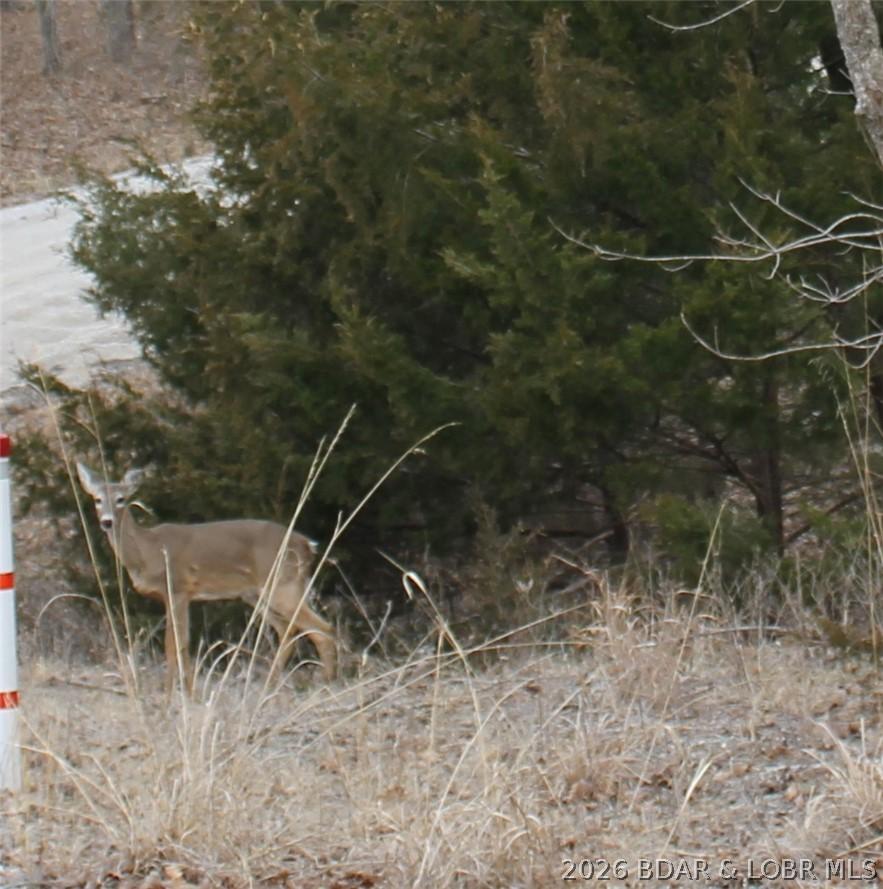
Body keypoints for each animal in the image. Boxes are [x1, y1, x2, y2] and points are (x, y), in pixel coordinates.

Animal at [76, 462, 337, 693]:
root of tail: (307, 545)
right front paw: (190, 694)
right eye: (97, 499)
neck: (149, 551)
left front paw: (173, 698)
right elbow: (182, 644)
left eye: (121, 499)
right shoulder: (177, 596)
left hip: (283, 584)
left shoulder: (178, 588)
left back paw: (325, 685)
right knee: (288, 630)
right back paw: (269, 688)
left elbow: (174, 645)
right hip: (258, 593)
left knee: (323, 628)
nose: (107, 521)